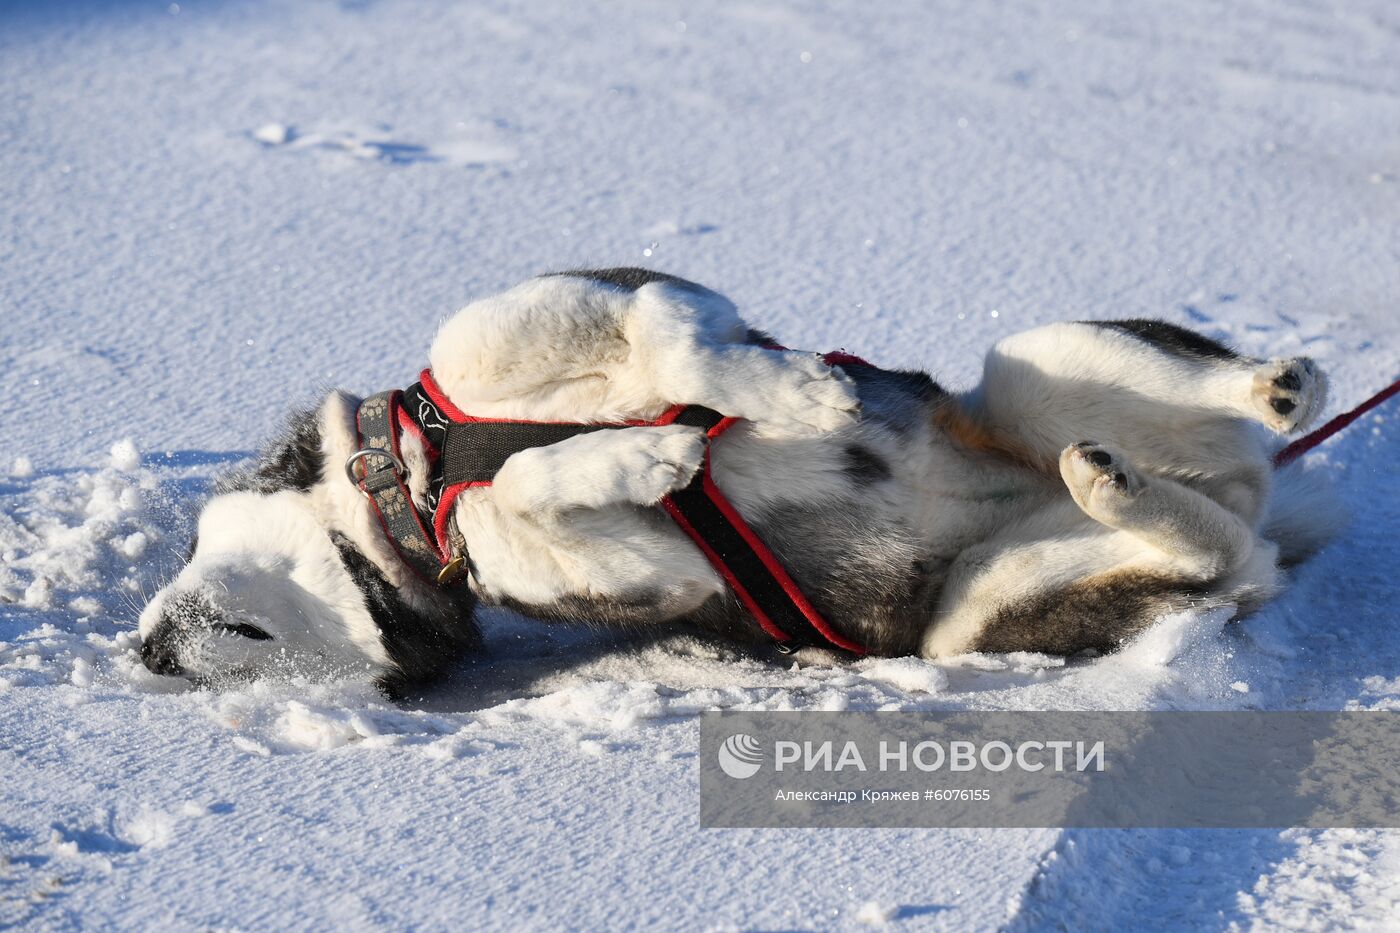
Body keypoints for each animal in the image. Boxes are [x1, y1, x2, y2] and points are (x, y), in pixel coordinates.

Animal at [136, 264, 1338, 686]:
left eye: (190, 550)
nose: (146, 652)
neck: (417, 485)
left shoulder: (609, 295)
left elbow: (678, 340)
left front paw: (793, 395)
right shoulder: (640, 576)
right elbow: (537, 488)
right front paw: (649, 455)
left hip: (1035, 371)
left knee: (1222, 411)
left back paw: (1282, 386)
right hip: (981, 607)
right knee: (1214, 546)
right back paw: (1115, 485)